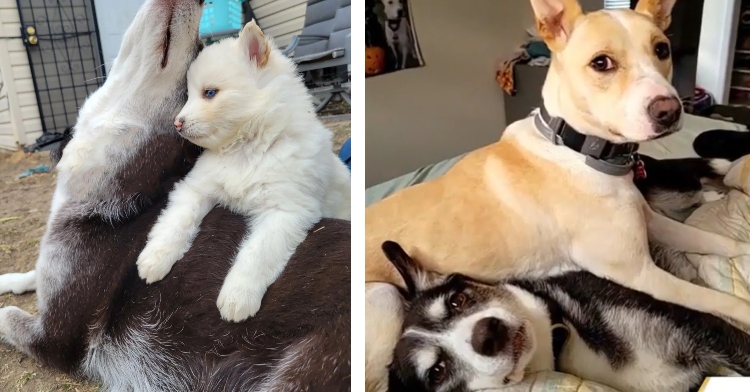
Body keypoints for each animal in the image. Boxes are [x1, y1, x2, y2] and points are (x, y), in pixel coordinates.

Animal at [136, 20, 352, 322]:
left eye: (210, 93)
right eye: (188, 95)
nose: (177, 123)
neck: (244, 149)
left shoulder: (285, 211)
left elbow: (257, 252)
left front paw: (238, 297)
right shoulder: (196, 188)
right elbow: (176, 220)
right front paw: (156, 257)